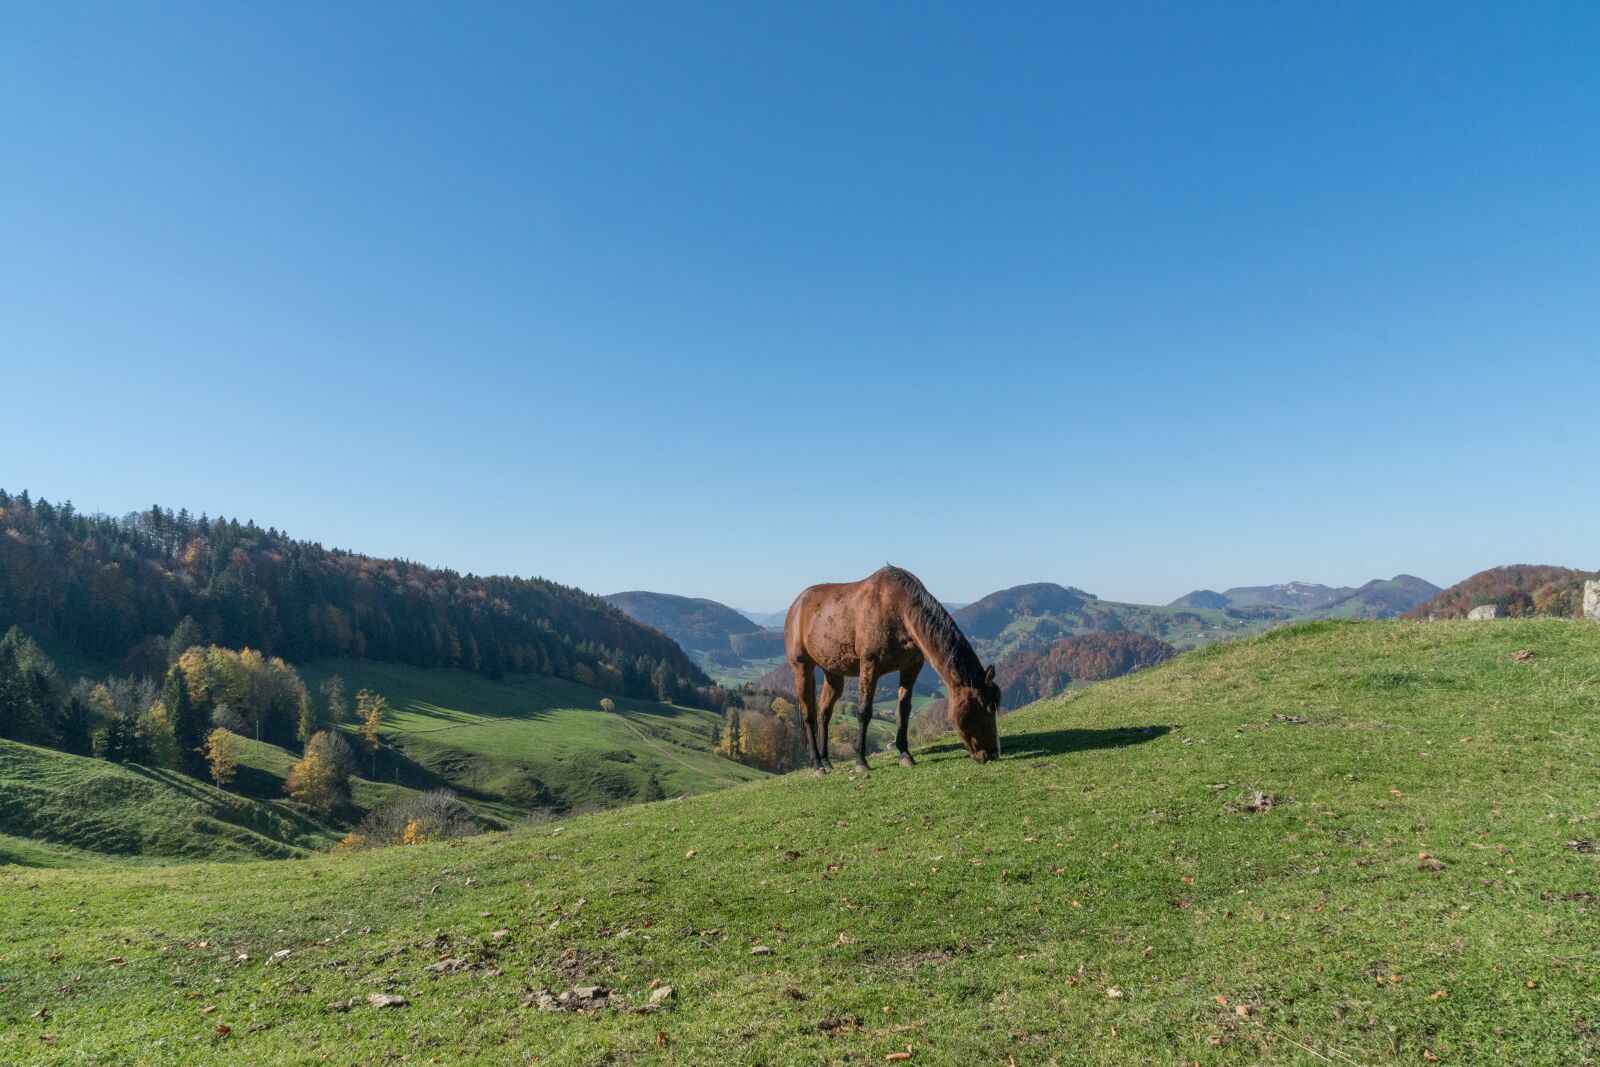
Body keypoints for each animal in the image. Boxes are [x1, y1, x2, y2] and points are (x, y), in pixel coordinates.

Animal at [780, 566, 992, 777]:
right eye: (984, 708)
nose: (991, 753)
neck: (897, 607)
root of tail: (796, 605)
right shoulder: (869, 665)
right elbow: (864, 712)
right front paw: (861, 761)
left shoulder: (911, 667)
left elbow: (904, 710)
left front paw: (905, 754)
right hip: (802, 668)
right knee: (809, 715)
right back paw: (817, 764)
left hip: (832, 671)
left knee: (823, 712)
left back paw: (826, 761)